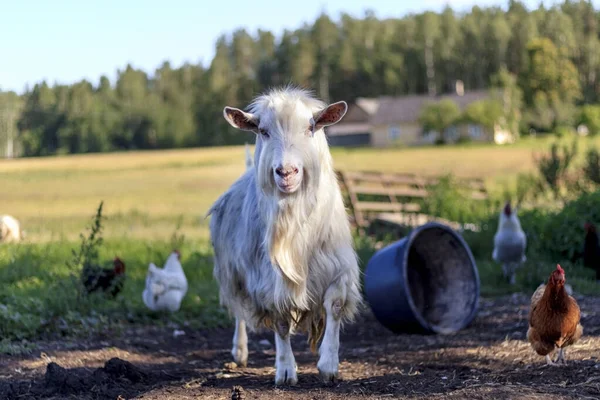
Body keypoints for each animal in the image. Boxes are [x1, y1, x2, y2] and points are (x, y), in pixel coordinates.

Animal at [209, 86, 360, 384]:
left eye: (311, 127)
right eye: (263, 131)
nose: (286, 172)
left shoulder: (337, 264)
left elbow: (335, 304)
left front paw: (329, 365)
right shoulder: (267, 277)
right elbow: (279, 320)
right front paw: (286, 370)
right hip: (232, 270)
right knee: (239, 312)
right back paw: (239, 352)